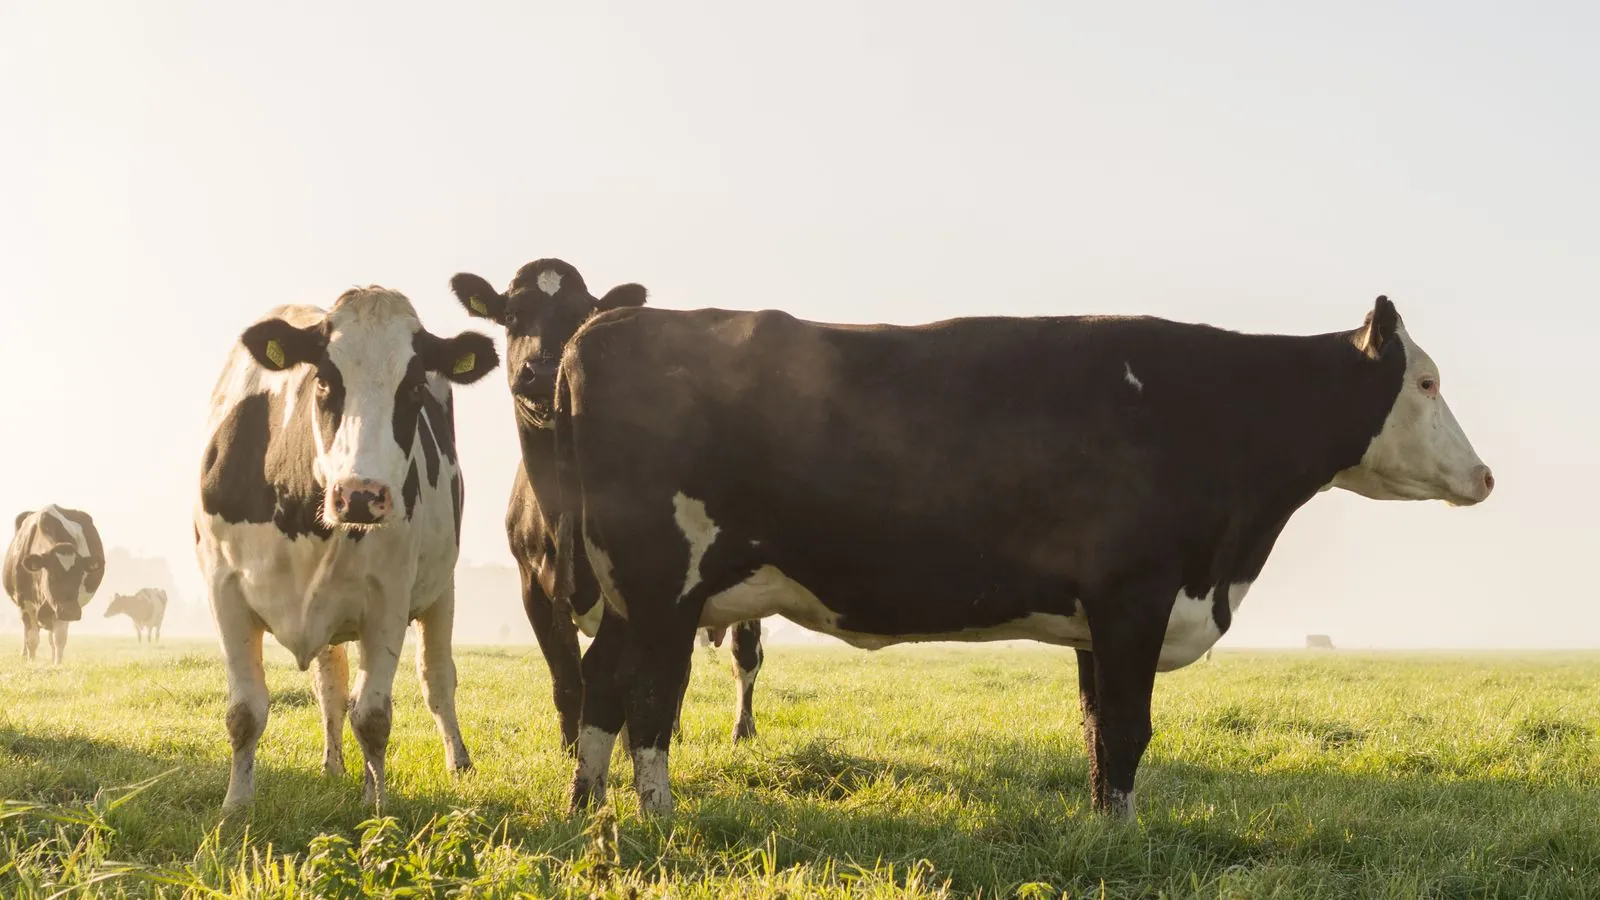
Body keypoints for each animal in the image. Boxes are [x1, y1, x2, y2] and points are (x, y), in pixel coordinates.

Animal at [4, 506, 105, 663]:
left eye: (80, 575)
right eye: (51, 576)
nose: (71, 612)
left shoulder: (61, 608)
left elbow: (59, 639)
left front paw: (57, 664)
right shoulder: (25, 604)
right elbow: (32, 639)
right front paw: (31, 663)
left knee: (52, 638)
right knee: (27, 634)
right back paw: (24, 654)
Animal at [195, 286, 498, 811]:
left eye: (413, 387)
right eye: (323, 380)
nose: (360, 494)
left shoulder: (388, 600)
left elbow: (373, 717)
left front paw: (376, 807)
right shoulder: (224, 589)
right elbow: (245, 711)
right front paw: (236, 806)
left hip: (441, 591)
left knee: (437, 678)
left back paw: (456, 762)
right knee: (332, 686)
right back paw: (333, 766)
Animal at [450, 259, 767, 751]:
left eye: (582, 315)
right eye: (512, 315)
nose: (544, 371)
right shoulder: (532, 587)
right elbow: (567, 680)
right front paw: (571, 749)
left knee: (744, 655)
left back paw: (741, 729)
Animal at [546, 294, 1494, 819]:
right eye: (1427, 382)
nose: (1485, 476)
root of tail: (605, 325)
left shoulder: (1097, 618)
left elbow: (1098, 731)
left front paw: (1106, 829)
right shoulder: (1134, 596)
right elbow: (1128, 728)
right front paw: (1122, 837)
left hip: (635, 595)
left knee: (600, 685)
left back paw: (589, 807)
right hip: (663, 585)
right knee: (649, 700)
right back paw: (659, 817)